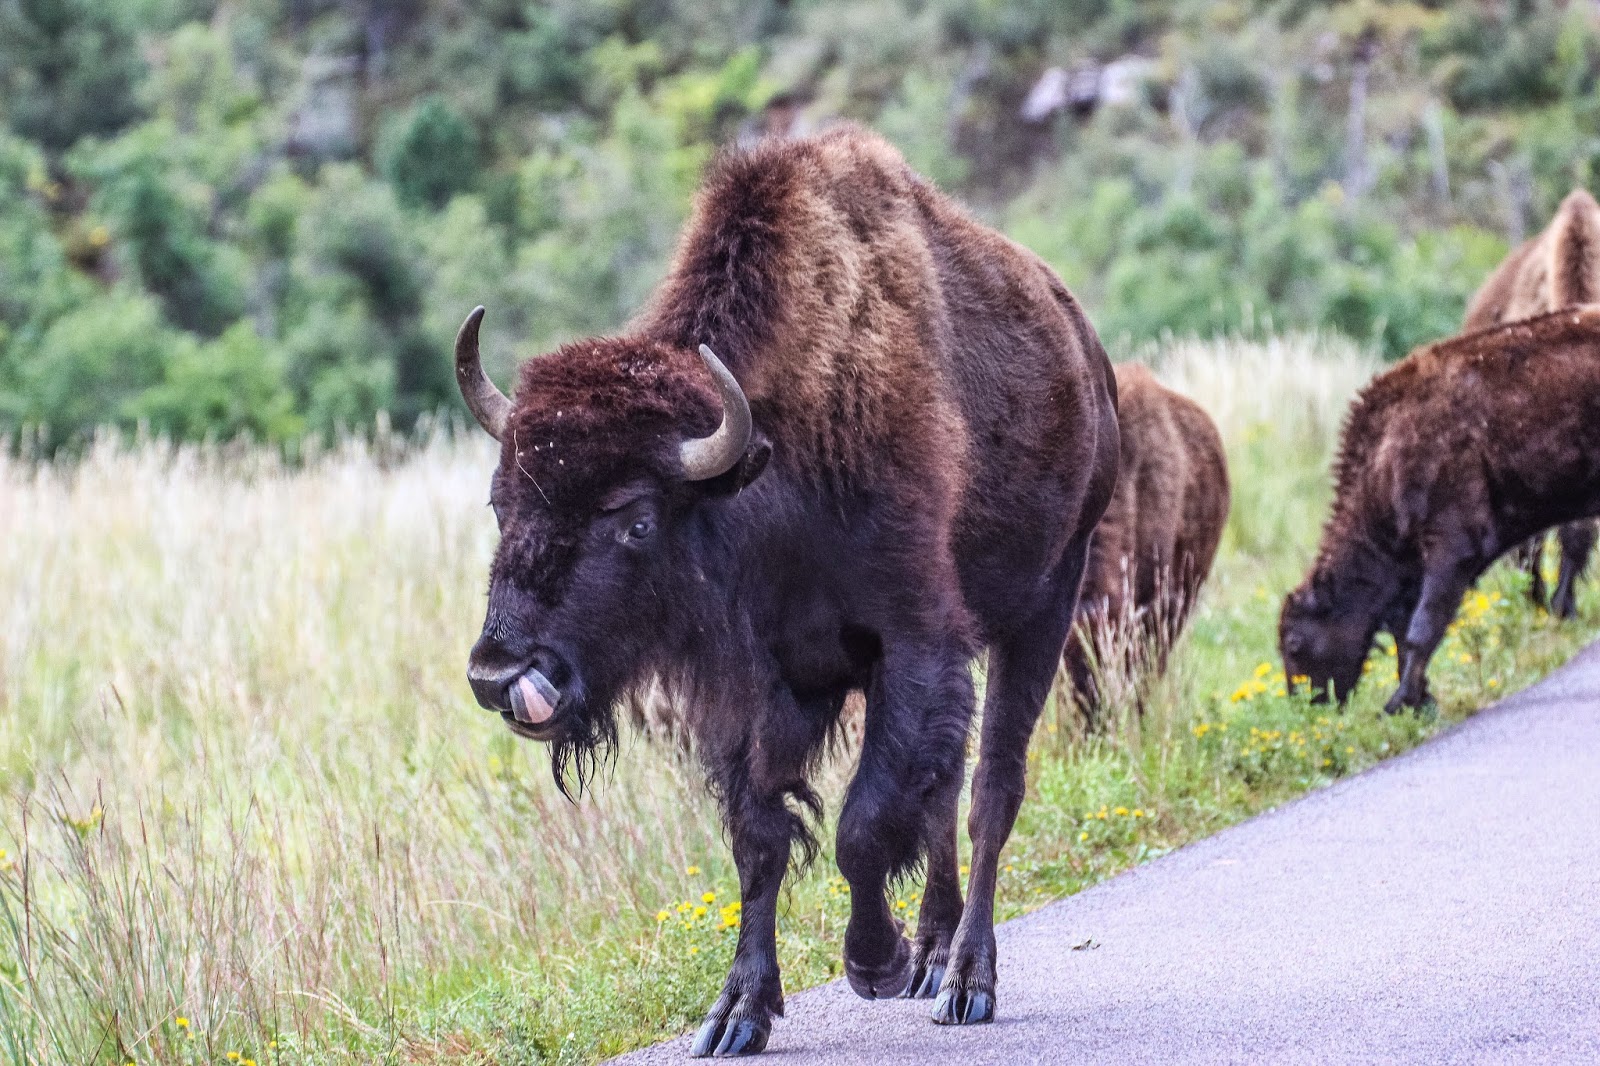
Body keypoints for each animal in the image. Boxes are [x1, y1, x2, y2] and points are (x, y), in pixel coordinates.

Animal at [454, 125, 1119, 1055]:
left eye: (635, 520)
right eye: (500, 501)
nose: (497, 673)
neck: (768, 467)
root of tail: (1084, 349)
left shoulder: (914, 646)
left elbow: (862, 825)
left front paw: (872, 964)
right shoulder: (755, 691)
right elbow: (761, 839)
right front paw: (737, 1014)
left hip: (1045, 605)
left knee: (992, 788)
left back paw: (963, 980)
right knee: (946, 793)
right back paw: (933, 951)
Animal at [1281, 307, 1600, 712]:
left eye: (1294, 643)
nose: (1304, 704)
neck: (1384, 462)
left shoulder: (1451, 548)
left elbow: (1422, 629)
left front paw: (1398, 703)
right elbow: (1407, 632)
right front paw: (1419, 701)